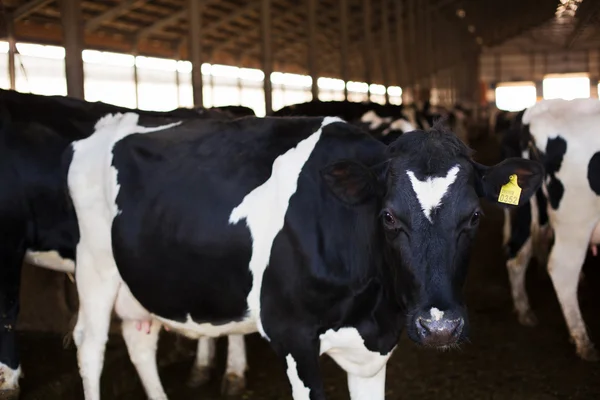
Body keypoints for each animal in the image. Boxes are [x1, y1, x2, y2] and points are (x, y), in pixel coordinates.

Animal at [64, 113, 544, 400]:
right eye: (388, 216)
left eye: (475, 216)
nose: (440, 327)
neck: (373, 308)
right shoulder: (291, 335)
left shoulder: (374, 350)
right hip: (94, 267)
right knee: (90, 344)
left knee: (139, 340)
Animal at [502, 98, 600, 360]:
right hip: (576, 218)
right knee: (563, 270)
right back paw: (584, 343)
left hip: (528, 211)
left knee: (517, 254)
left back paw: (524, 312)